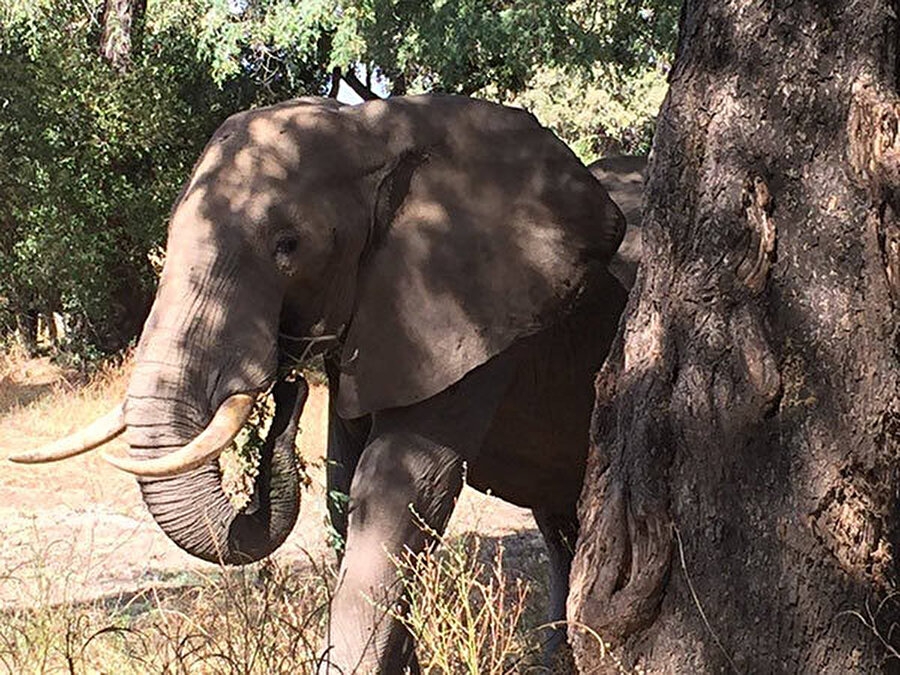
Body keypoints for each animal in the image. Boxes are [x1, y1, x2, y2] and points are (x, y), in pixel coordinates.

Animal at [12, 93, 632, 672]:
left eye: (288, 246)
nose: (287, 389)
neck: (376, 129)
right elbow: (343, 481)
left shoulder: (476, 316)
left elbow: (396, 495)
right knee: (559, 526)